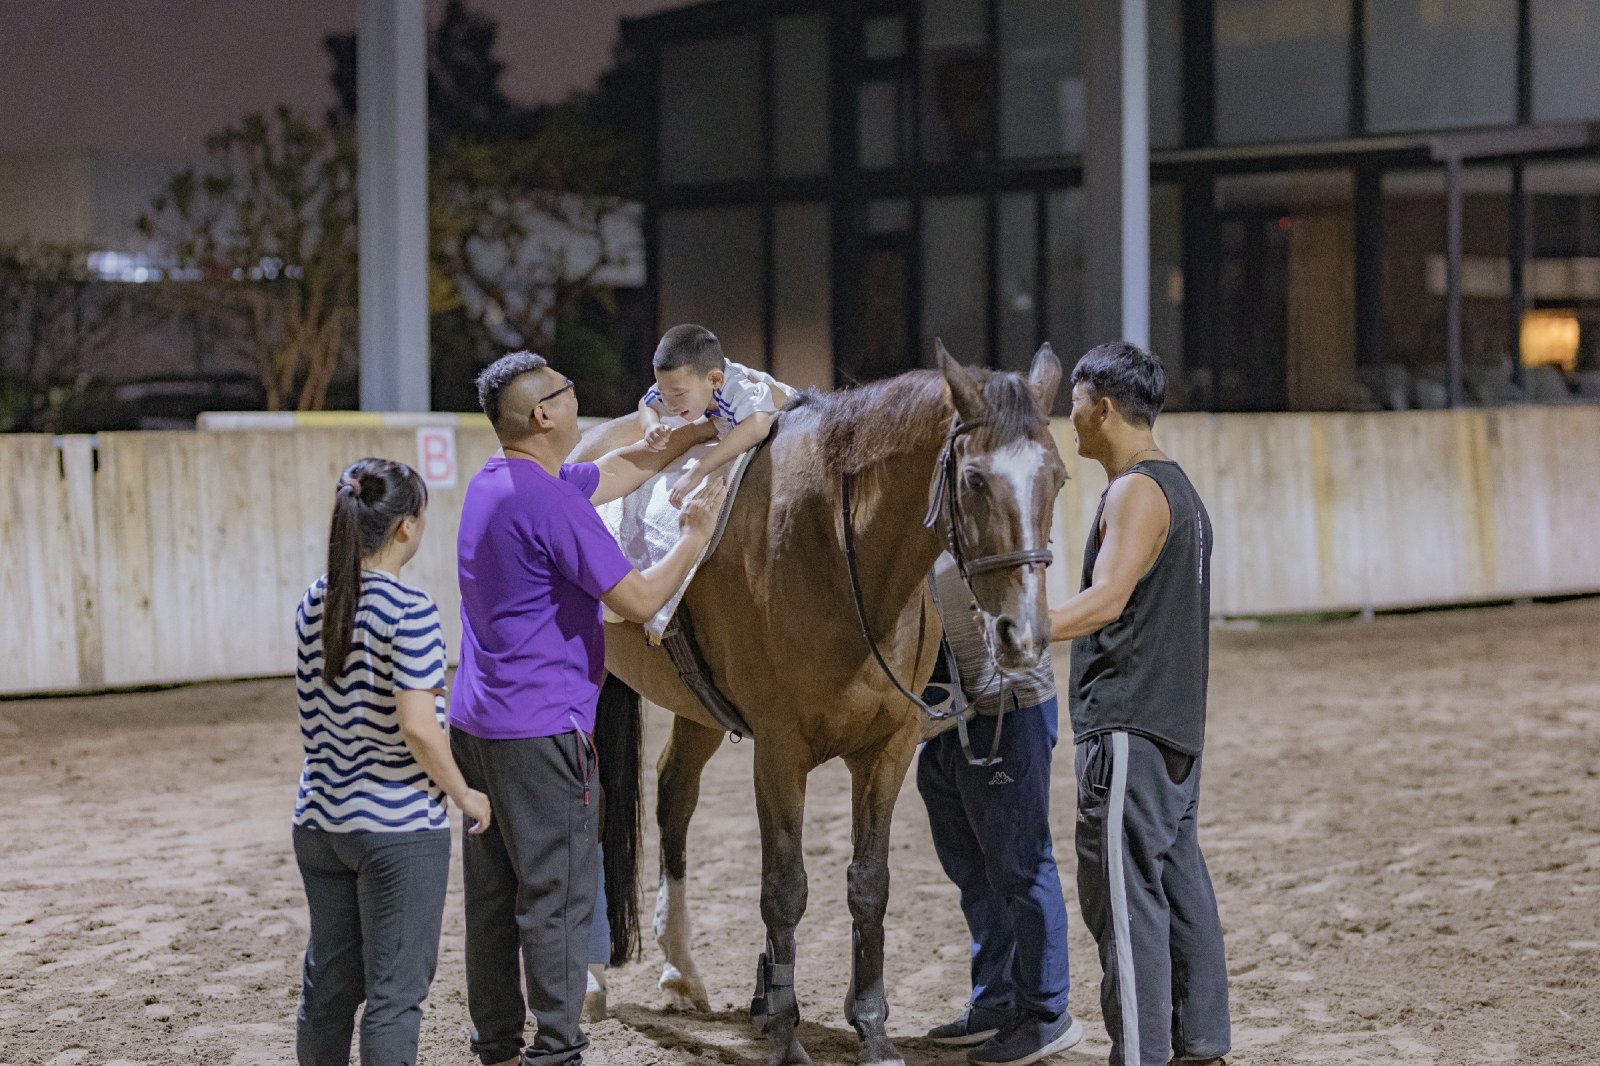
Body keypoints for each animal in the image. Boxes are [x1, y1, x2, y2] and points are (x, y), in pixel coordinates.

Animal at [577, 342, 1066, 1066]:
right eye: (975, 480)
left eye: (1057, 478)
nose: (1022, 634)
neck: (834, 547)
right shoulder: (781, 753)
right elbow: (785, 890)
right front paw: (785, 1034)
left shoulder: (887, 750)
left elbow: (870, 885)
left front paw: (871, 1029)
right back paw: (588, 983)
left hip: (697, 707)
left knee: (673, 797)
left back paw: (682, 972)